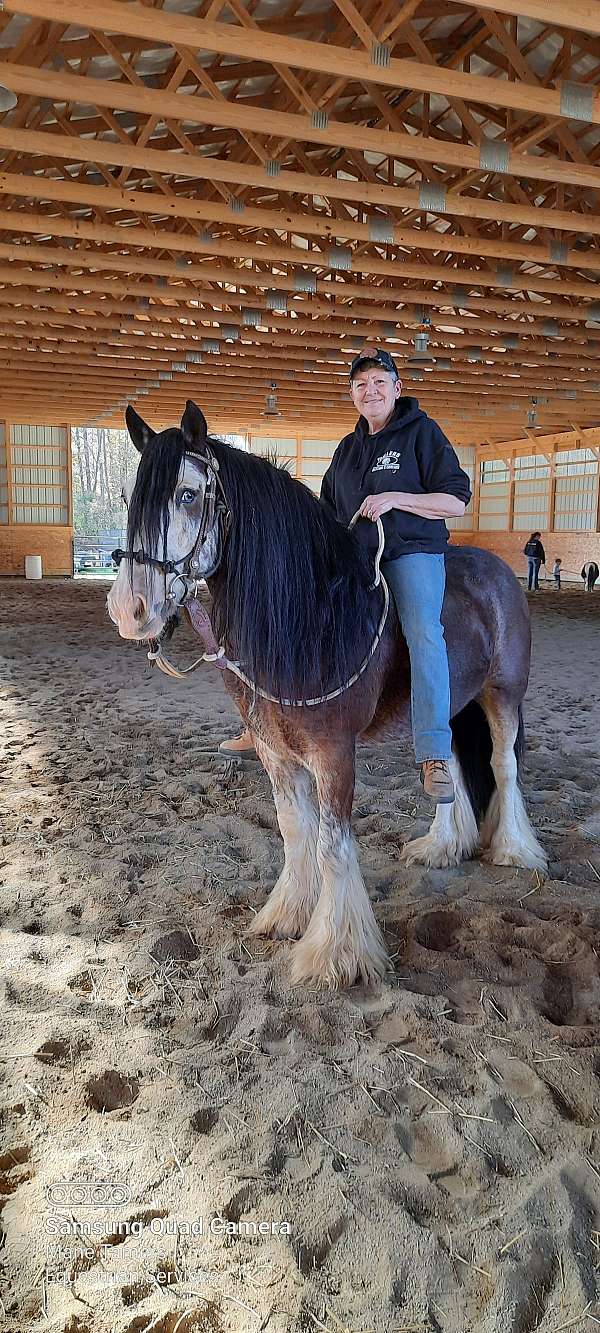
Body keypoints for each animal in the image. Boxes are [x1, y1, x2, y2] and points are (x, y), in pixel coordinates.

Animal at [108, 394, 549, 991]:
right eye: (132, 497)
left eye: (187, 494)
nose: (130, 608)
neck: (311, 613)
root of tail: (497, 571)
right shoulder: (274, 752)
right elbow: (296, 834)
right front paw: (288, 916)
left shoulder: (334, 752)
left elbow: (333, 845)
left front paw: (337, 955)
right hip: (454, 703)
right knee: (453, 766)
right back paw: (441, 847)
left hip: (503, 695)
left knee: (503, 765)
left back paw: (513, 850)